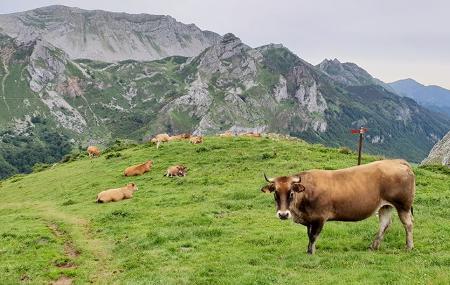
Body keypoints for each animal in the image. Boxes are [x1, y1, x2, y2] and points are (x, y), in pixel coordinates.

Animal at [260, 159, 414, 254]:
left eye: (291, 192)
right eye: (275, 193)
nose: (283, 214)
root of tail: (396, 161)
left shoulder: (319, 218)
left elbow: (313, 236)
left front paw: (311, 253)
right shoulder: (310, 220)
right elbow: (309, 235)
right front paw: (308, 250)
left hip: (403, 205)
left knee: (408, 224)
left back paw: (409, 247)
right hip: (385, 206)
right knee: (384, 224)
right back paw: (373, 246)